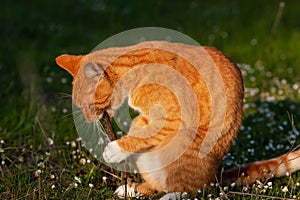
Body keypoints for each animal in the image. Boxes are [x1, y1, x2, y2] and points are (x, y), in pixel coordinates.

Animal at [56, 40, 300, 197]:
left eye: (88, 106)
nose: (88, 119)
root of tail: (214, 174)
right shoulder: (146, 120)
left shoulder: (172, 119)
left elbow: (143, 135)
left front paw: (116, 149)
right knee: (159, 183)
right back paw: (132, 189)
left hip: (185, 145)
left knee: (190, 189)